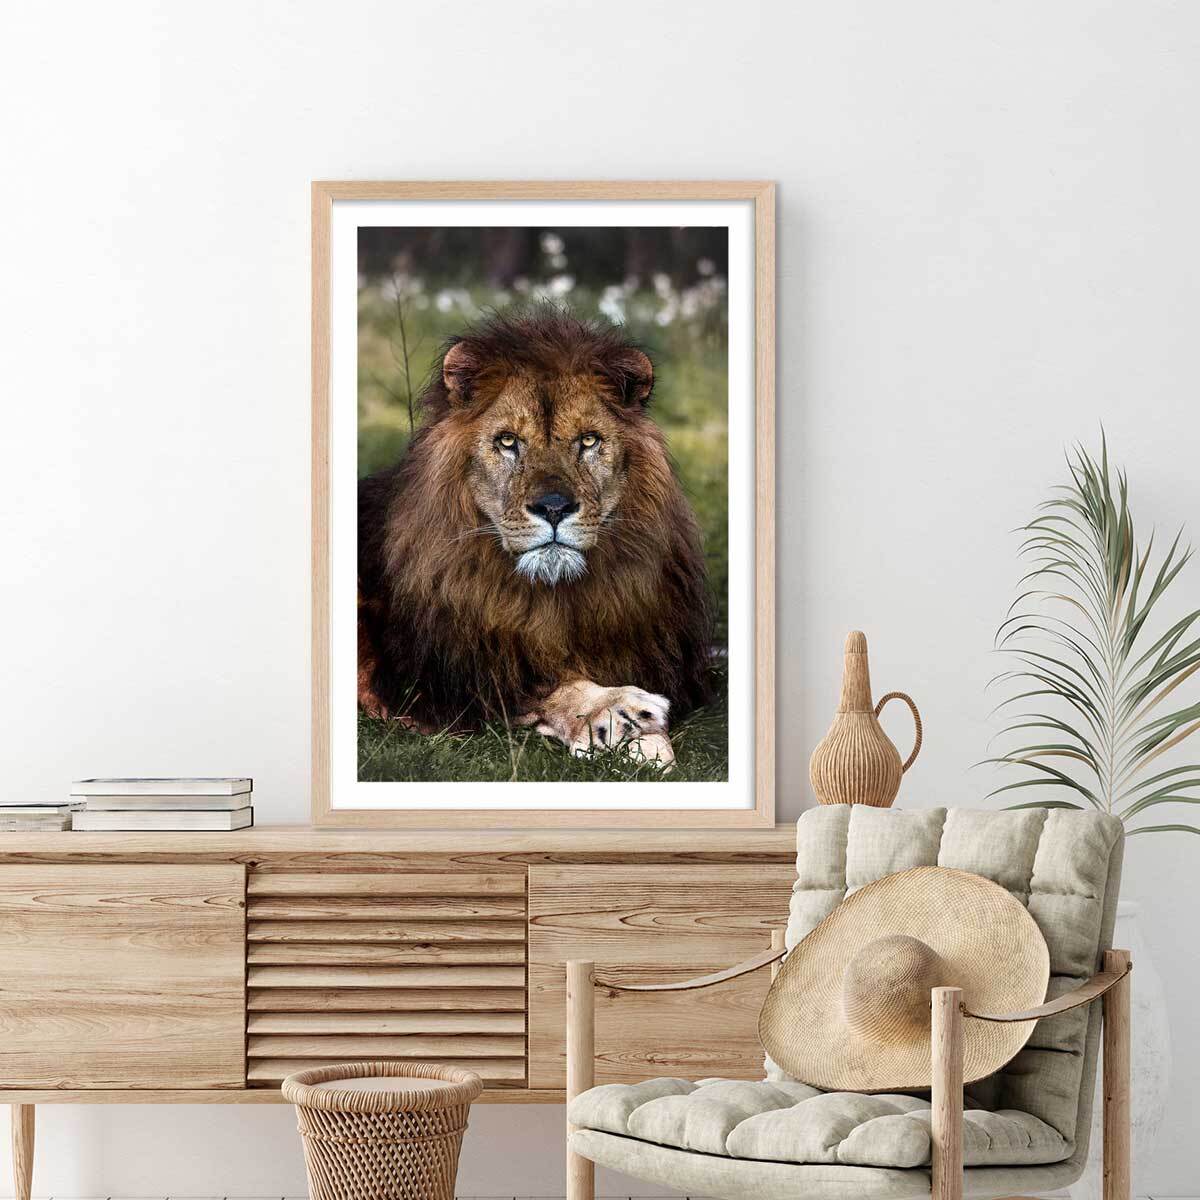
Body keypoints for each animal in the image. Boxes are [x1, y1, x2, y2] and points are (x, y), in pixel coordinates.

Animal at [357, 307, 715, 766]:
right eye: (508, 441)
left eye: (588, 440)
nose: (554, 508)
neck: (551, 597)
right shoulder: (429, 679)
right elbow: (542, 687)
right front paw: (619, 715)